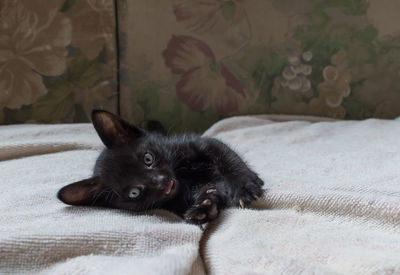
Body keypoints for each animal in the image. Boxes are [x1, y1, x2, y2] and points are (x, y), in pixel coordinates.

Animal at [56, 110, 262, 224]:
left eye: (148, 158)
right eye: (134, 193)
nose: (162, 182)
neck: (182, 177)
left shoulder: (202, 144)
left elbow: (227, 158)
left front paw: (244, 186)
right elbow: (211, 189)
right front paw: (204, 207)